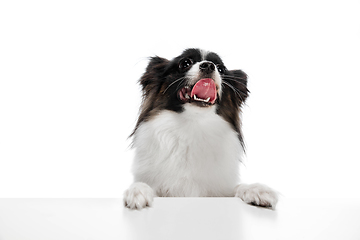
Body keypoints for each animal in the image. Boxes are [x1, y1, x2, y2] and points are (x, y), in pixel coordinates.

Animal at [124, 49, 278, 210]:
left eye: (221, 69)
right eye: (185, 63)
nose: (209, 66)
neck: (193, 124)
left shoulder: (219, 190)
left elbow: (237, 187)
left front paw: (256, 189)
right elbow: (145, 186)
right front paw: (137, 191)